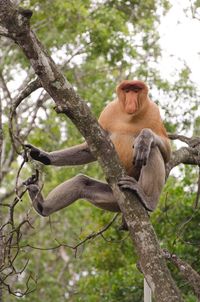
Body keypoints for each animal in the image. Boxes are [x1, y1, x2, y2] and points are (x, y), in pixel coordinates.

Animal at [24, 79, 171, 217]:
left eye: (135, 90)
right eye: (127, 90)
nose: (131, 101)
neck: (130, 116)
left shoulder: (153, 111)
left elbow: (167, 152)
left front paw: (144, 138)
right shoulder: (109, 111)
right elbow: (92, 147)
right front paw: (42, 155)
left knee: (152, 150)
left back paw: (147, 200)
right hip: (112, 195)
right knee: (82, 182)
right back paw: (42, 206)